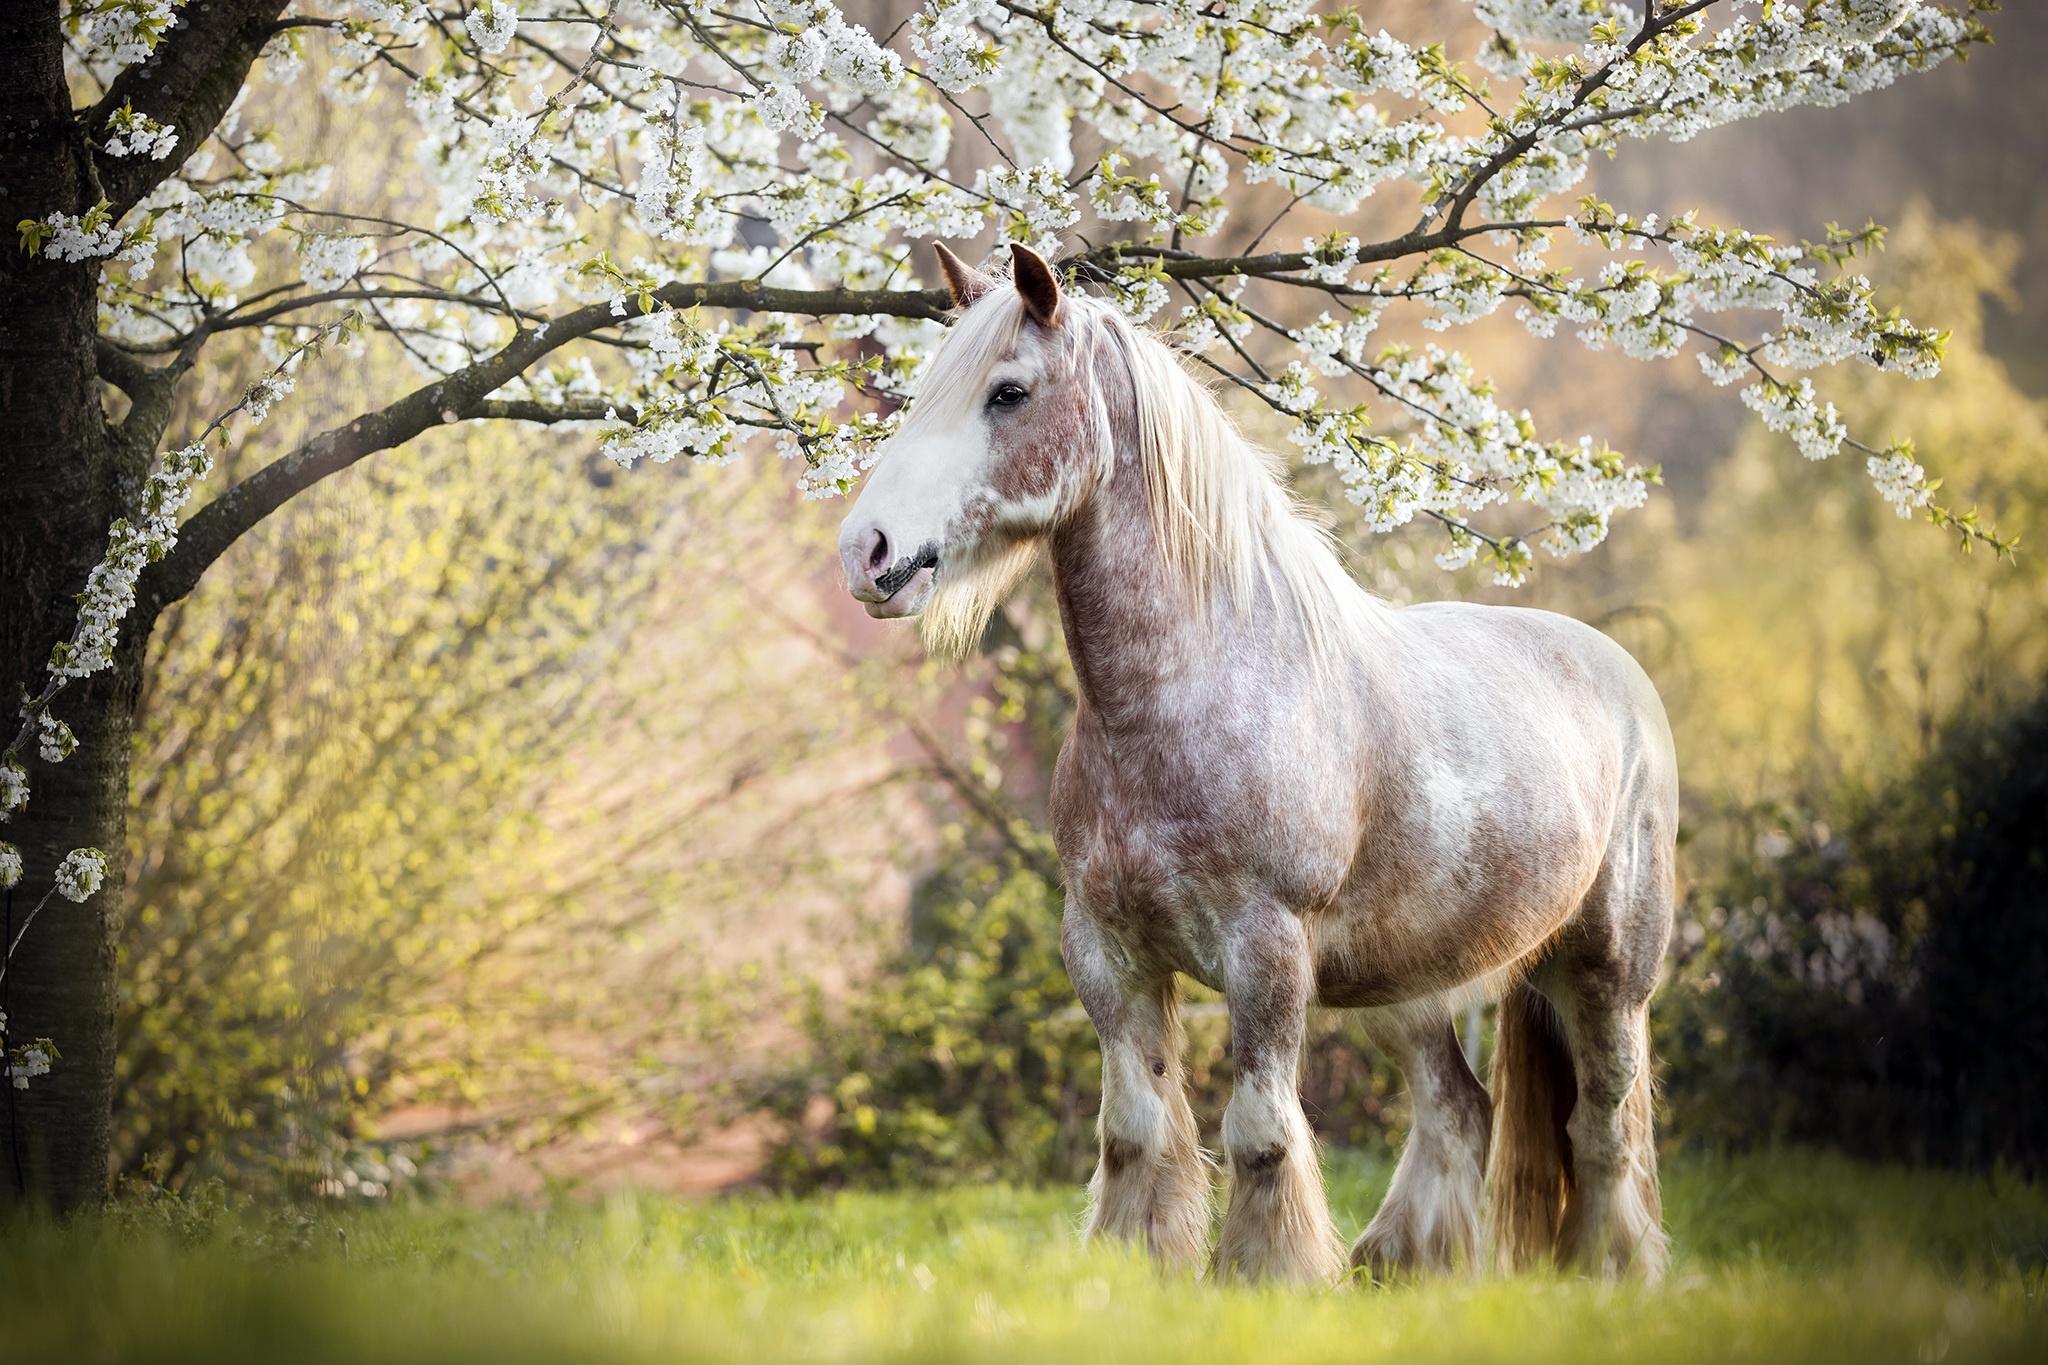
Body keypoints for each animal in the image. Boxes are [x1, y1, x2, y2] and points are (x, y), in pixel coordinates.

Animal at [831, 248, 1679, 1293]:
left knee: (1602, 1129)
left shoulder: (1265, 951)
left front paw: (1266, 1277)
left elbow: (1261, 1130)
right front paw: (1136, 1268)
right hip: (1406, 986)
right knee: (1458, 1109)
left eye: (1009, 392)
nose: (866, 552)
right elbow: (1134, 1128)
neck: (1188, 695)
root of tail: (1615, 673)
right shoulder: (1104, 950)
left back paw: (1611, 1270)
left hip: (1607, 972)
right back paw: (1406, 1266)